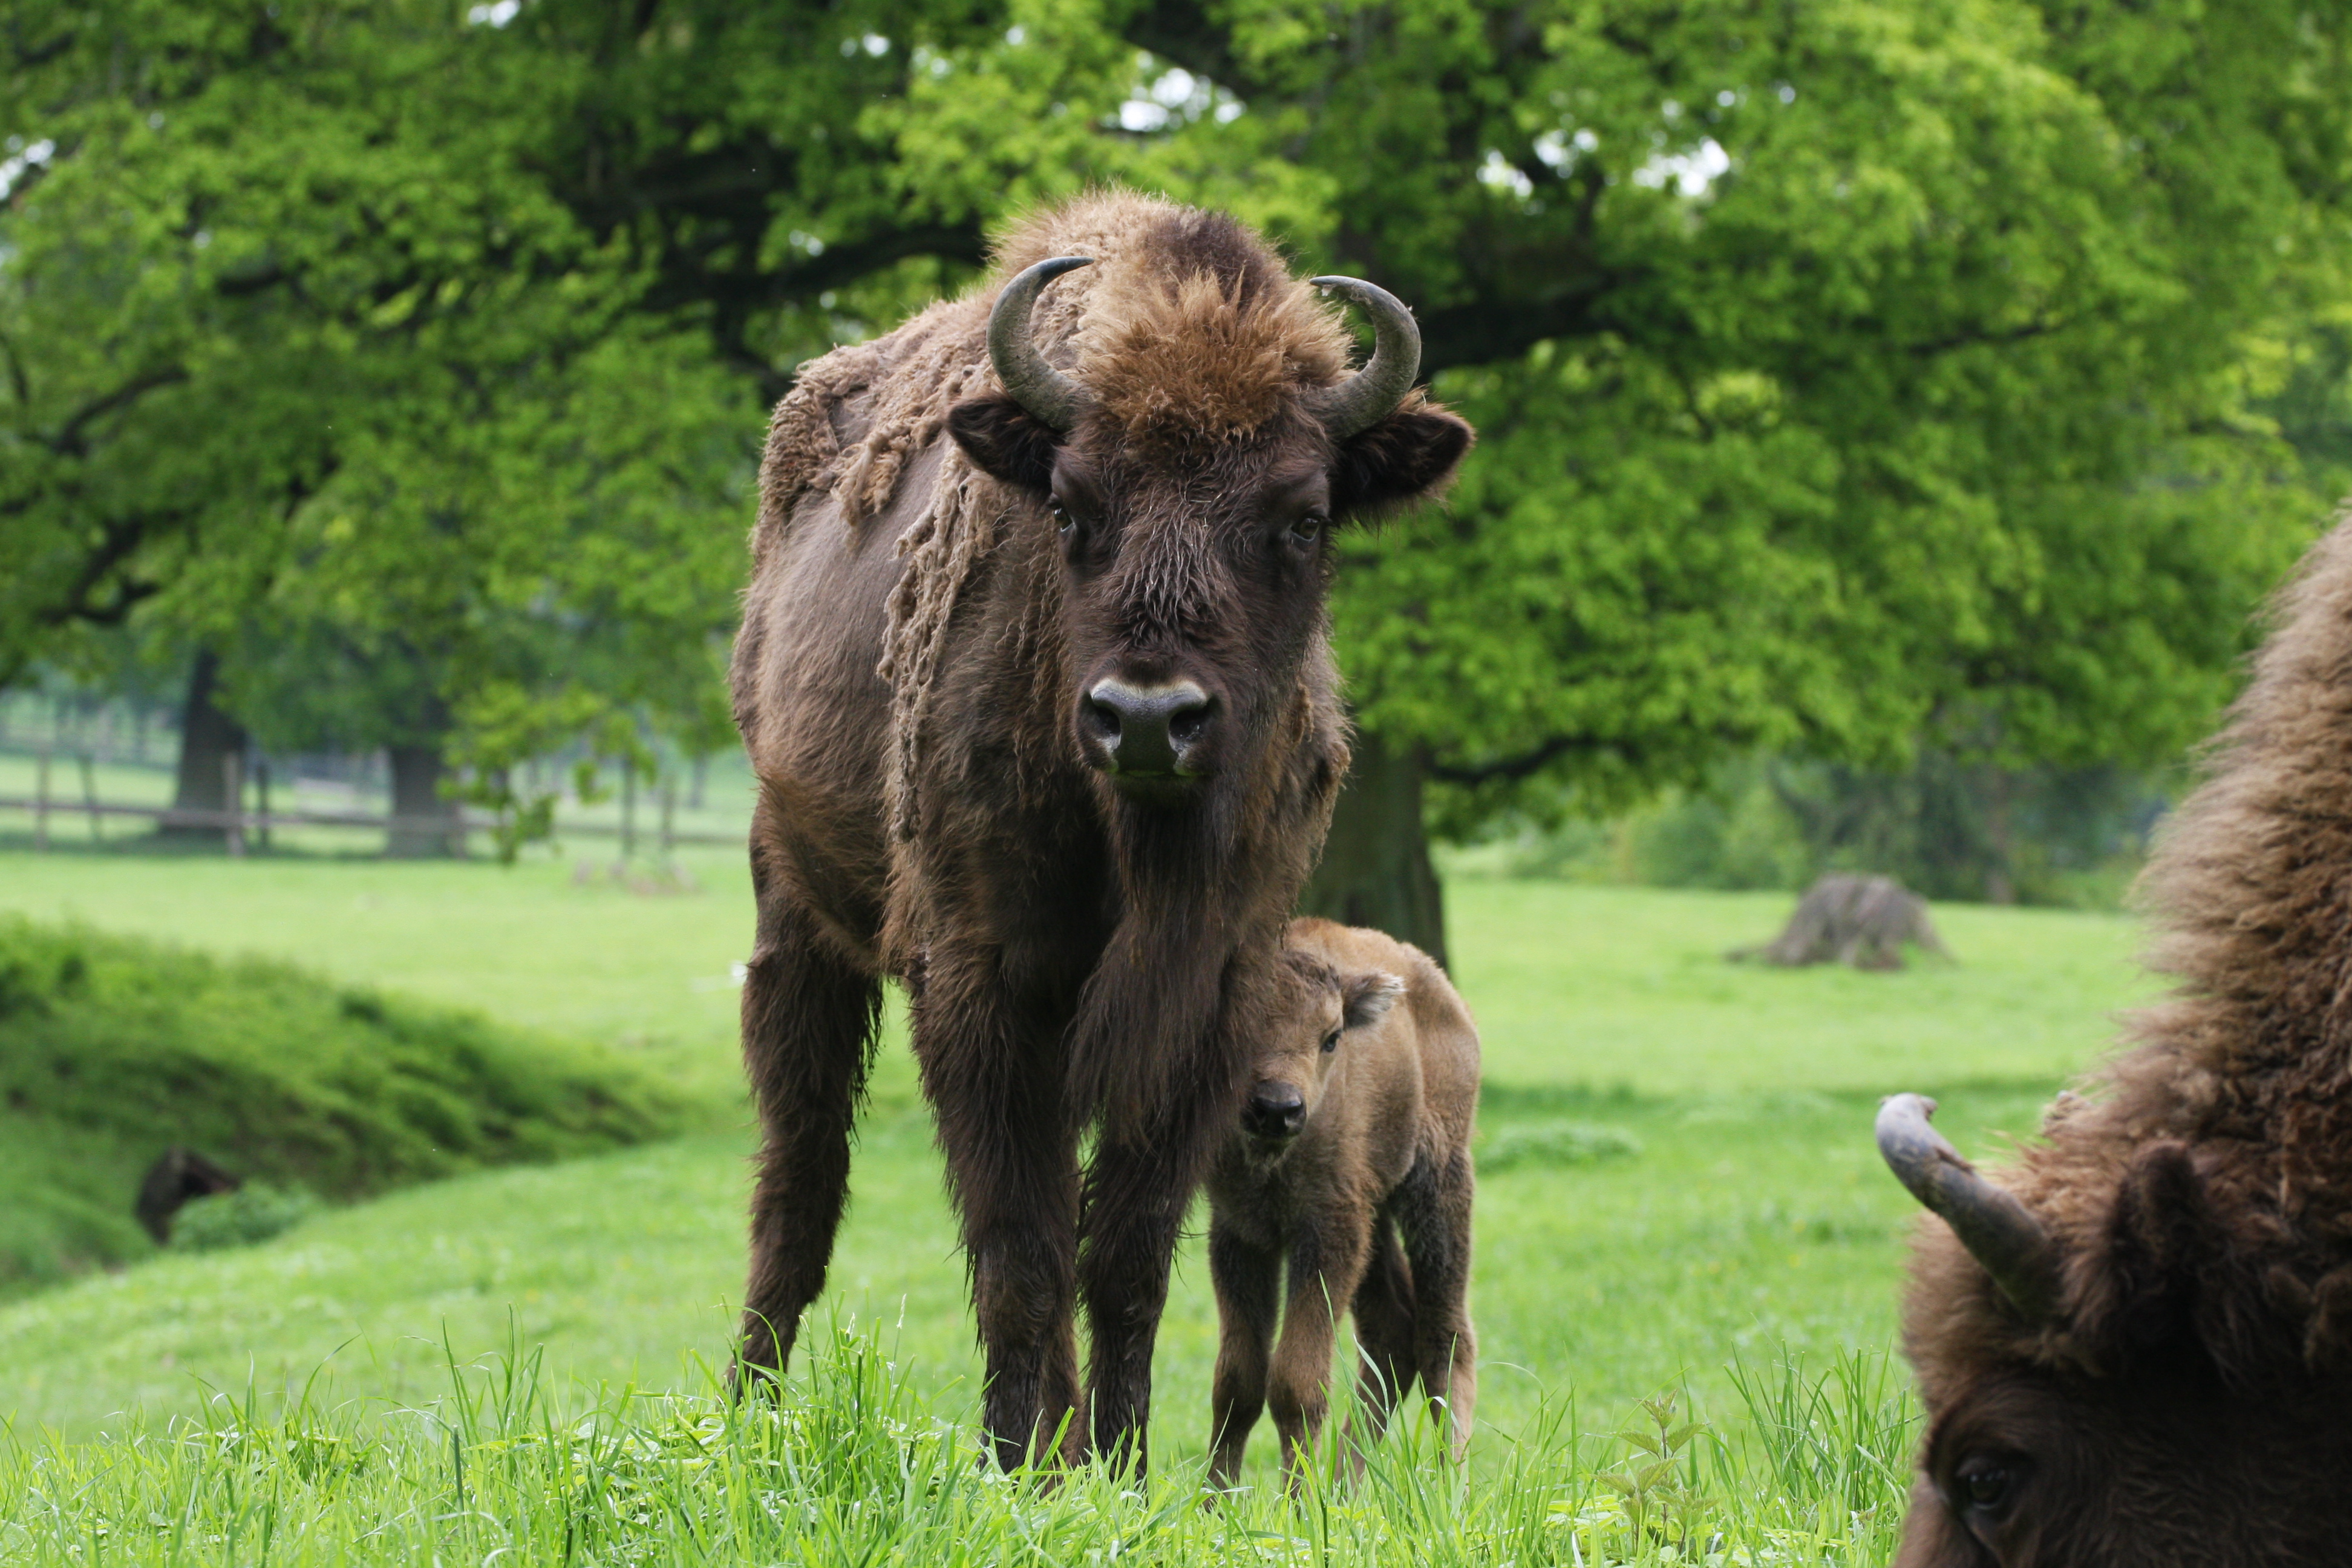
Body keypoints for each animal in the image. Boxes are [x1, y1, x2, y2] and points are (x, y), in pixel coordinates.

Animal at [1204, 921, 1477, 1495]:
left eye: (1331, 1037)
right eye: (1236, 1030)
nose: (1277, 1109)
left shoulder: (1328, 1232)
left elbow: (1295, 1383)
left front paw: (1299, 1505)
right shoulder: (1241, 1234)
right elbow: (1237, 1383)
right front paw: (1213, 1503)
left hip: (1438, 1185)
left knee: (1446, 1334)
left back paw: (1449, 1490)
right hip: (1376, 1219)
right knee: (1392, 1333)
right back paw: (1344, 1489)